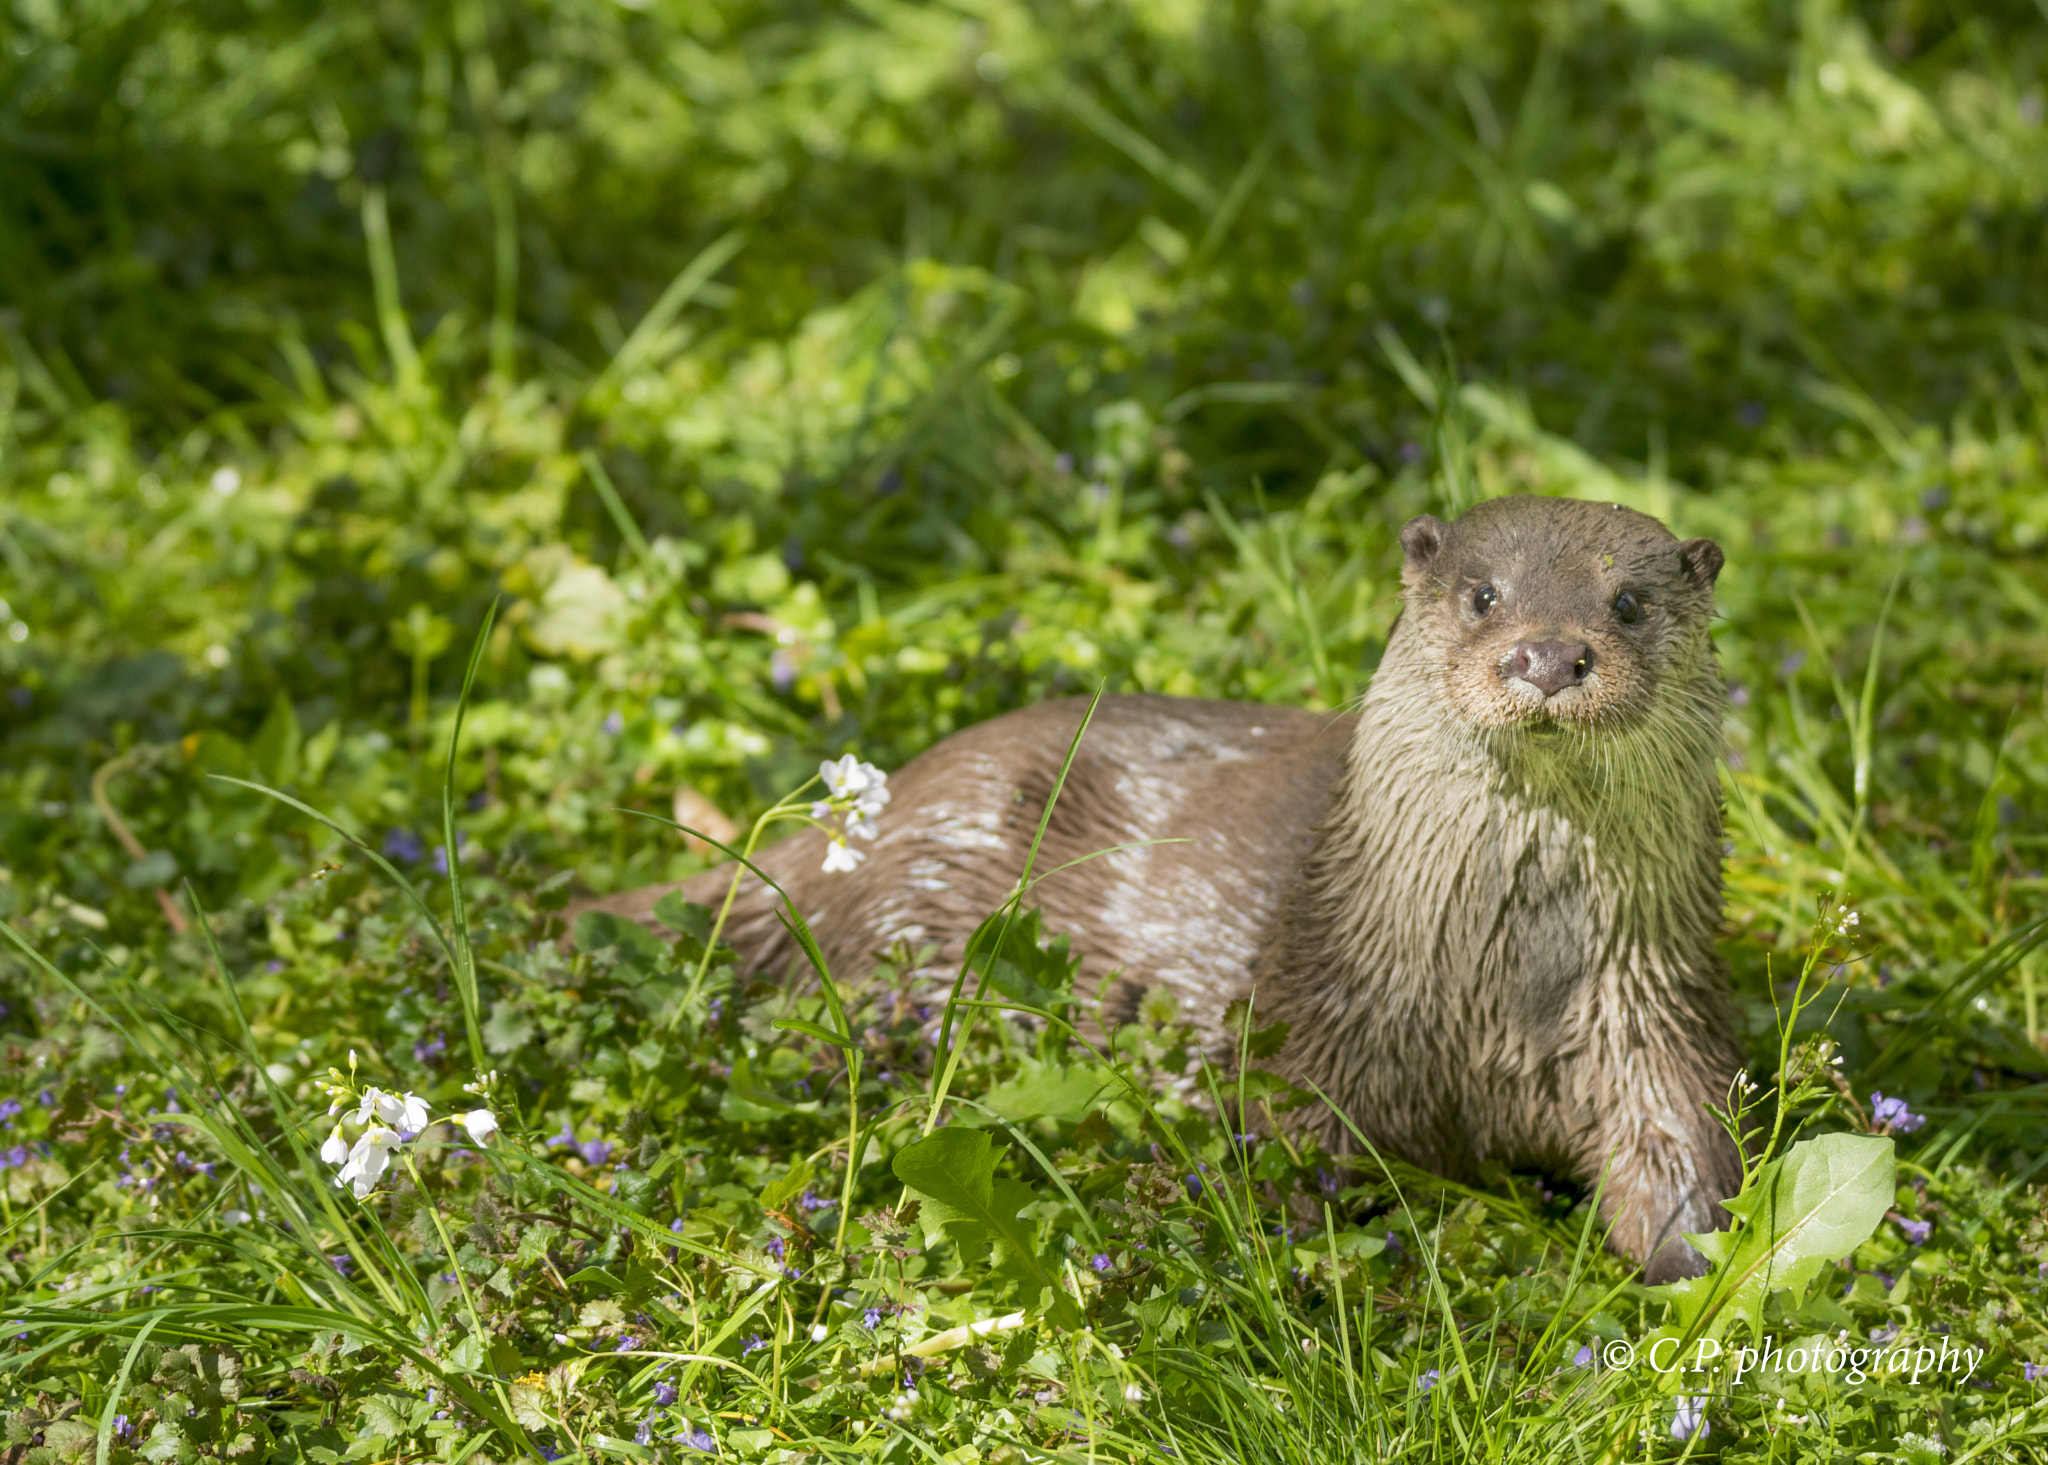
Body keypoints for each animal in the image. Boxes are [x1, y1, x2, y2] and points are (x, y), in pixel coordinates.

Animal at [577, 497, 1744, 1278]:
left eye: (1628, 601)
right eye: (1482, 595)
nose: (1547, 654)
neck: (1494, 989)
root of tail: (890, 800)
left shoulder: (1651, 1018)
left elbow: (1684, 1168)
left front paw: (1697, 1281)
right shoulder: (1313, 1044)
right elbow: (1295, 1170)